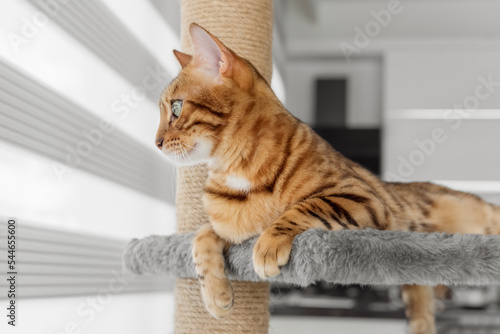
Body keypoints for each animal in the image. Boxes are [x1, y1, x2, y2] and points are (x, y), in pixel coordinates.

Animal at [156, 23, 500, 334]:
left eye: (176, 108)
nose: (156, 142)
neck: (234, 170)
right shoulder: (227, 227)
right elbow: (201, 238)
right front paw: (215, 296)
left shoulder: (361, 196)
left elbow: (304, 207)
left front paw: (268, 243)